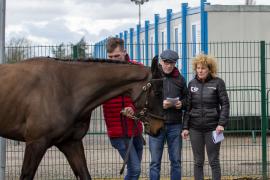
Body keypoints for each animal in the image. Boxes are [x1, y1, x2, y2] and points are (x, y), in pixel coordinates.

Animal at [0, 57, 162, 179]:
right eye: (158, 92)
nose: (159, 128)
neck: (66, 88)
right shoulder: (36, 143)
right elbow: (26, 175)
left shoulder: (71, 143)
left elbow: (85, 174)